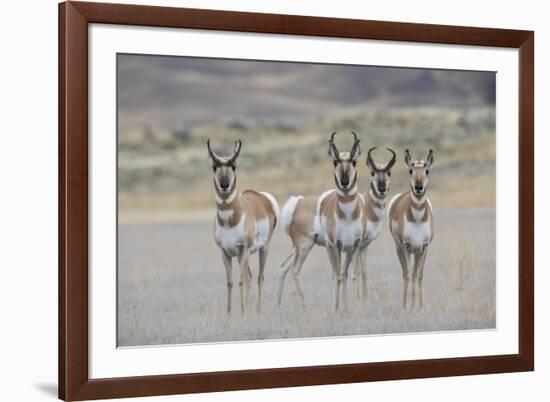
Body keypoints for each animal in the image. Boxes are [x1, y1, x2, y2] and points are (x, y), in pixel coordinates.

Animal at [207, 140, 280, 316]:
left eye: (233, 166)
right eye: (214, 166)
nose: (224, 184)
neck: (230, 220)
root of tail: (263, 197)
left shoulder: (243, 249)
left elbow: (240, 281)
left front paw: (242, 312)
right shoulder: (225, 252)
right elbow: (230, 282)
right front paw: (229, 313)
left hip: (262, 249)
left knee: (259, 277)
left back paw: (258, 311)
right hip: (243, 256)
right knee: (250, 276)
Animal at [278, 132, 364, 310]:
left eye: (354, 161)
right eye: (335, 161)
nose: (344, 182)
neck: (347, 215)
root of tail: (297, 202)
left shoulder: (354, 246)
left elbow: (351, 274)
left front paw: (350, 308)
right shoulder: (335, 245)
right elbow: (338, 275)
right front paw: (337, 309)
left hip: (298, 248)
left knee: (283, 267)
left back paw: (277, 306)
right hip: (305, 246)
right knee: (295, 270)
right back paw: (305, 306)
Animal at [354, 146, 396, 300]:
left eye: (389, 172)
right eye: (372, 172)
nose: (382, 189)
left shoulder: (364, 245)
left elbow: (364, 271)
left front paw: (365, 298)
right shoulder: (357, 244)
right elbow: (356, 271)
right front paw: (357, 298)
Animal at [388, 149, 436, 310]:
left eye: (427, 170)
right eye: (410, 170)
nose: (418, 187)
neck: (417, 219)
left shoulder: (424, 247)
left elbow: (419, 276)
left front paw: (420, 307)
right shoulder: (406, 246)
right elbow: (408, 275)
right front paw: (406, 307)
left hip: (417, 251)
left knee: (414, 274)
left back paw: (414, 304)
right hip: (400, 249)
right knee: (406, 273)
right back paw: (407, 304)